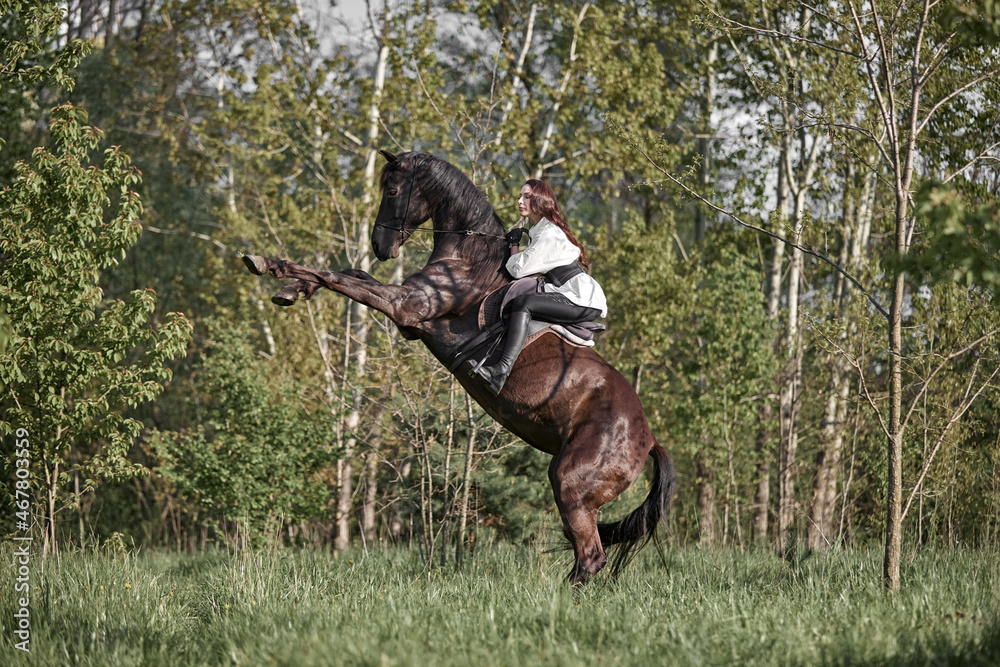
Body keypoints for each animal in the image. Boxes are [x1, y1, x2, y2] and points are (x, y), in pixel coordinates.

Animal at [242, 150, 676, 584]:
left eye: (393, 190)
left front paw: (266, 264)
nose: (380, 245)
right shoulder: (406, 313)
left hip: (571, 482)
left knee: (590, 556)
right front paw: (291, 290)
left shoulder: (405, 307)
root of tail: (649, 440)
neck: (467, 257)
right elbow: (349, 274)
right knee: (585, 555)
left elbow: (336, 276)